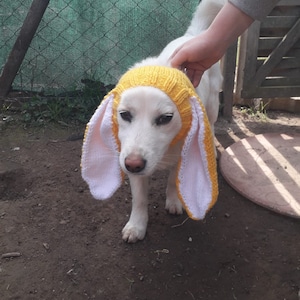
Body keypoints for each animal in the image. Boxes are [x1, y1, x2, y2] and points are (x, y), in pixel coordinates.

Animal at [81, 0, 224, 241]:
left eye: (166, 118)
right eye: (125, 115)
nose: (133, 164)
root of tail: (193, 35)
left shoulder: (181, 154)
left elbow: (173, 182)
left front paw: (174, 202)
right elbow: (139, 199)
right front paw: (136, 226)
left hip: (213, 104)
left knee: (212, 124)